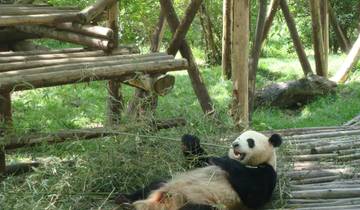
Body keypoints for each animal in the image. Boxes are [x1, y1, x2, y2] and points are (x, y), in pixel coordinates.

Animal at [116, 130, 282, 209]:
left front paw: (224, 162)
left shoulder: (266, 174)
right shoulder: (204, 163)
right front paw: (189, 140)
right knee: (153, 185)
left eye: (250, 141)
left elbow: (254, 196)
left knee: (197, 209)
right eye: (238, 138)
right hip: (167, 183)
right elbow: (197, 161)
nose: (235, 144)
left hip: (201, 201)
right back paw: (124, 200)